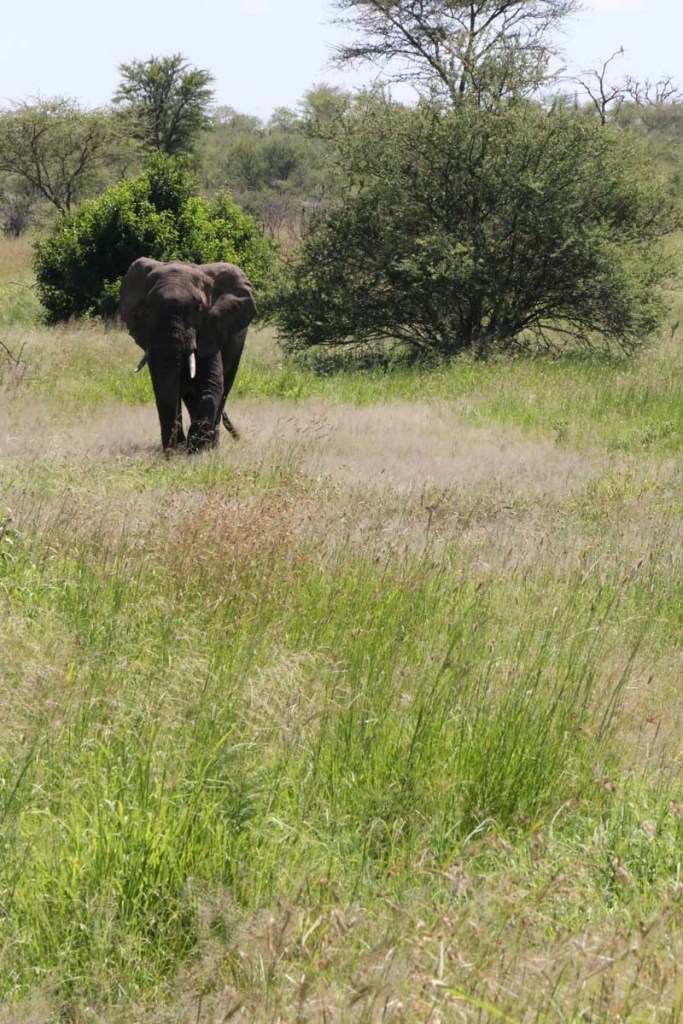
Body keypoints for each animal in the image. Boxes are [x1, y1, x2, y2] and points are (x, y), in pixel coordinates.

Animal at [119, 258, 257, 452]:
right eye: (148, 307)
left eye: (198, 307)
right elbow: (163, 388)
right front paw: (178, 449)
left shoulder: (211, 328)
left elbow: (212, 383)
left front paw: (198, 447)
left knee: (224, 388)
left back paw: (212, 444)